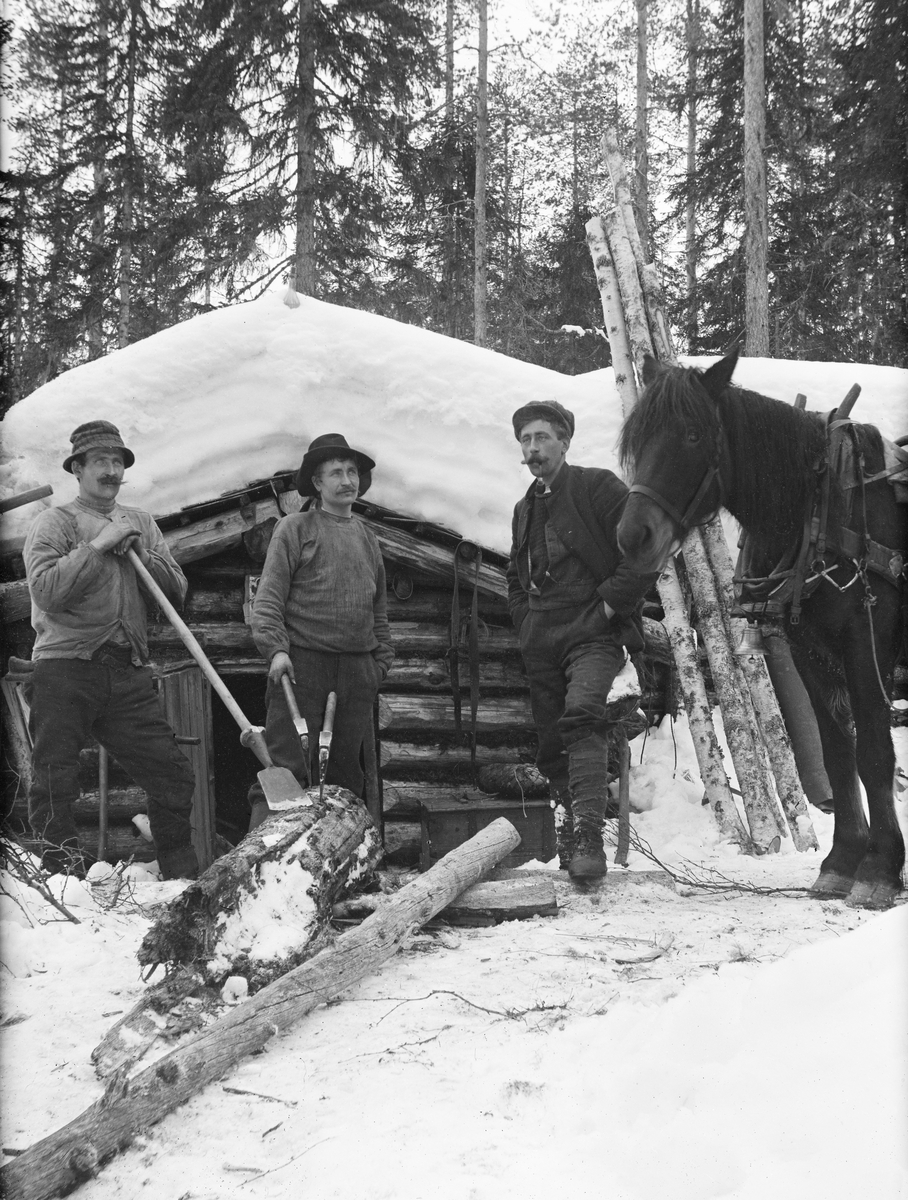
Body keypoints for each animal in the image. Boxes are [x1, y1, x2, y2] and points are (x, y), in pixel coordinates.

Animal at [618, 350, 902, 902]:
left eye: (692, 435)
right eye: (637, 437)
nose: (632, 534)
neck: (814, 509)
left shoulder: (868, 641)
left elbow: (875, 752)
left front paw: (880, 869)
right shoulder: (808, 649)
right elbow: (838, 753)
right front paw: (842, 860)